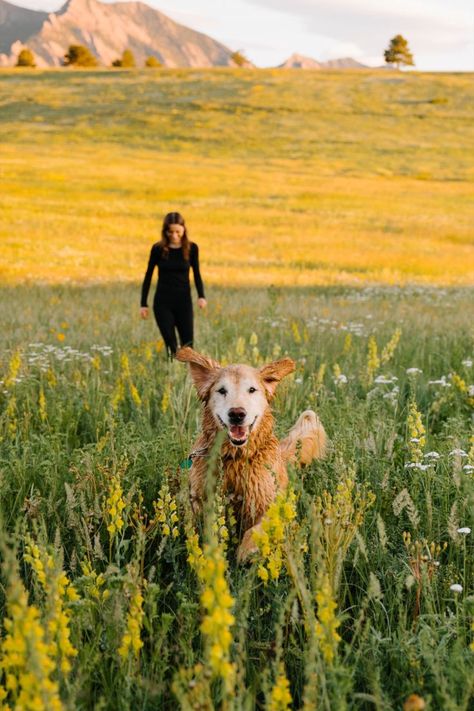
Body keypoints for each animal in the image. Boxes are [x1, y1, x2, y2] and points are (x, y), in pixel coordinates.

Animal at [176, 346, 328, 560]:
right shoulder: (199, 500)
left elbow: (256, 528)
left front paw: (247, 550)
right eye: (221, 390)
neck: (236, 457)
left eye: (252, 390)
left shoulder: (268, 501)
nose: (237, 414)